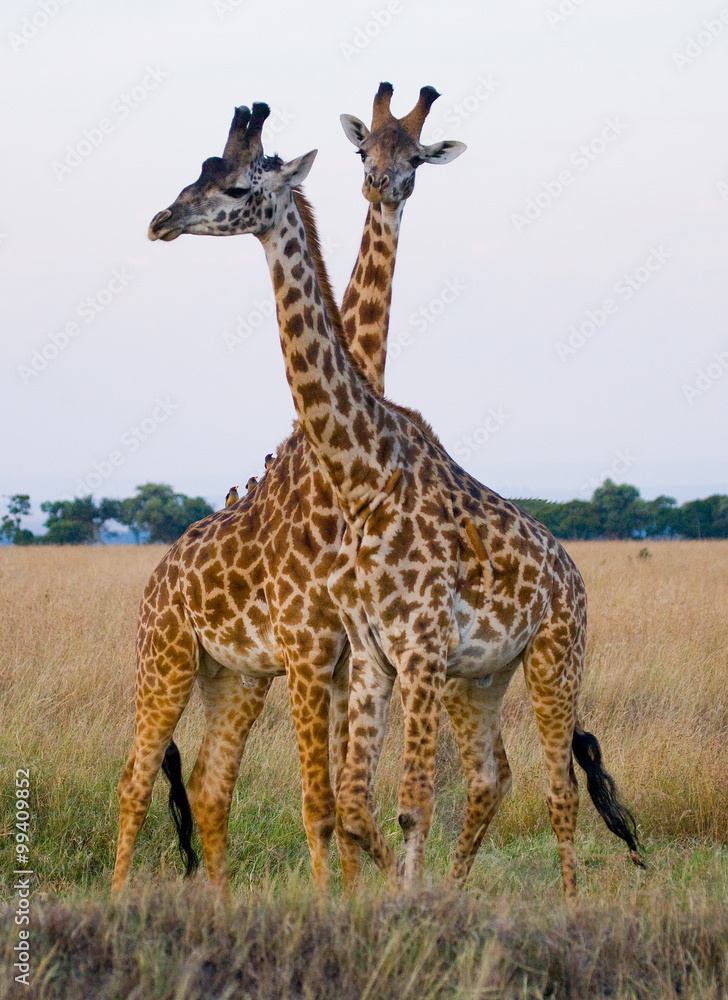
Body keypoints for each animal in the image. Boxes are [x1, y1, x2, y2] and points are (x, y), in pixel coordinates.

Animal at [112, 86, 466, 895]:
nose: (160, 220)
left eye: (240, 185)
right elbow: (323, 805)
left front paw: (356, 898)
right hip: (164, 659)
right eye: (364, 151)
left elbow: (338, 803)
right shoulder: (311, 649)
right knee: (136, 780)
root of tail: (155, 581)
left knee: (210, 785)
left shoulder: (336, 656)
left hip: (235, 677)